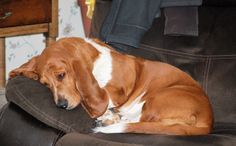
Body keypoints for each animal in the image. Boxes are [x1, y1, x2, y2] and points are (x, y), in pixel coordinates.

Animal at [9, 37, 213, 135]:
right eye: (45, 84)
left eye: (61, 75)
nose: (61, 105)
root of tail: (208, 121)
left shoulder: (116, 92)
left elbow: (102, 97)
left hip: (157, 98)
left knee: (142, 120)